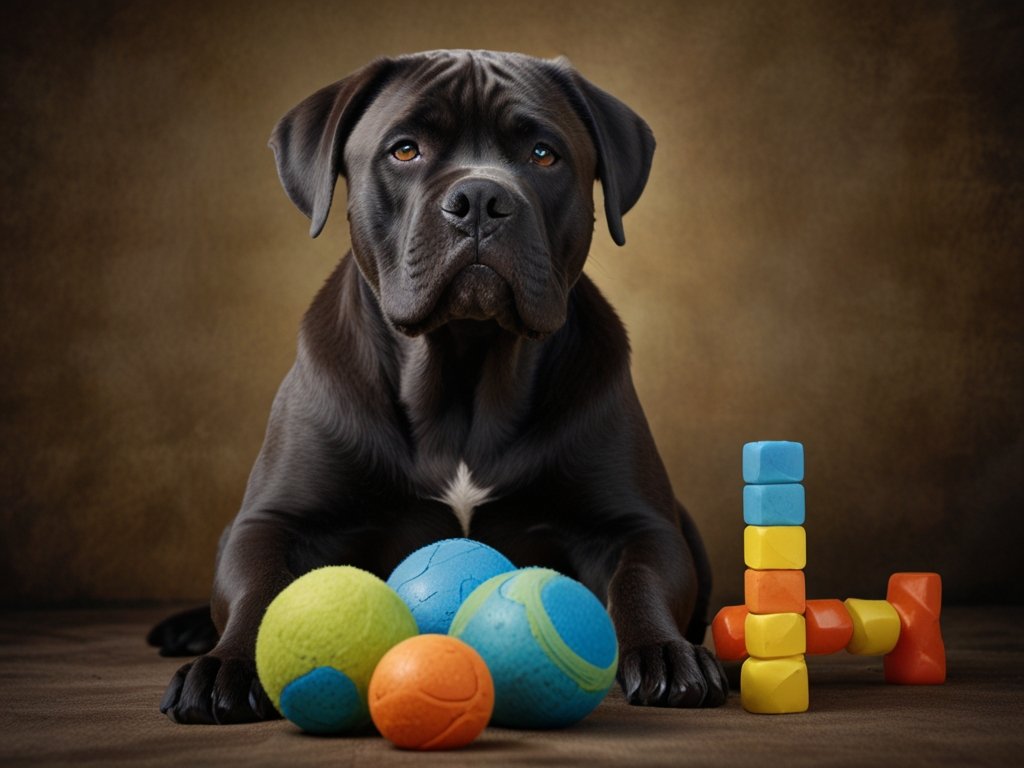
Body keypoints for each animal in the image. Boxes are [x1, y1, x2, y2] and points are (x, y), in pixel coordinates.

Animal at [149, 51, 729, 724]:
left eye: (543, 154)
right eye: (405, 150)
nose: (479, 197)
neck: (464, 368)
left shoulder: (637, 524)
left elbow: (640, 580)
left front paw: (666, 652)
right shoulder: (275, 519)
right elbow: (260, 587)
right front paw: (230, 664)